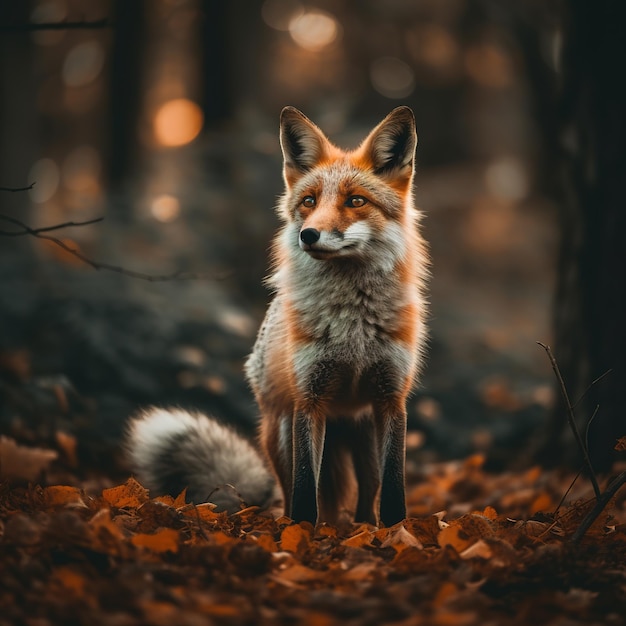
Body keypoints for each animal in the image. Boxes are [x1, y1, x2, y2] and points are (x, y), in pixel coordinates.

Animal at [127, 108, 428, 528]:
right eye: (308, 201)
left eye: (356, 201)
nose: (309, 235)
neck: (353, 330)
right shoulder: (309, 399)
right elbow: (304, 487)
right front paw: (301, 532)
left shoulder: (391, 398)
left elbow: (395, 486)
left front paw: (398, 531)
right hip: (281, 432)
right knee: (290, 492)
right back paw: (306, 524)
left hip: (364, 433)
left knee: (368, 493)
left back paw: (364, 528)